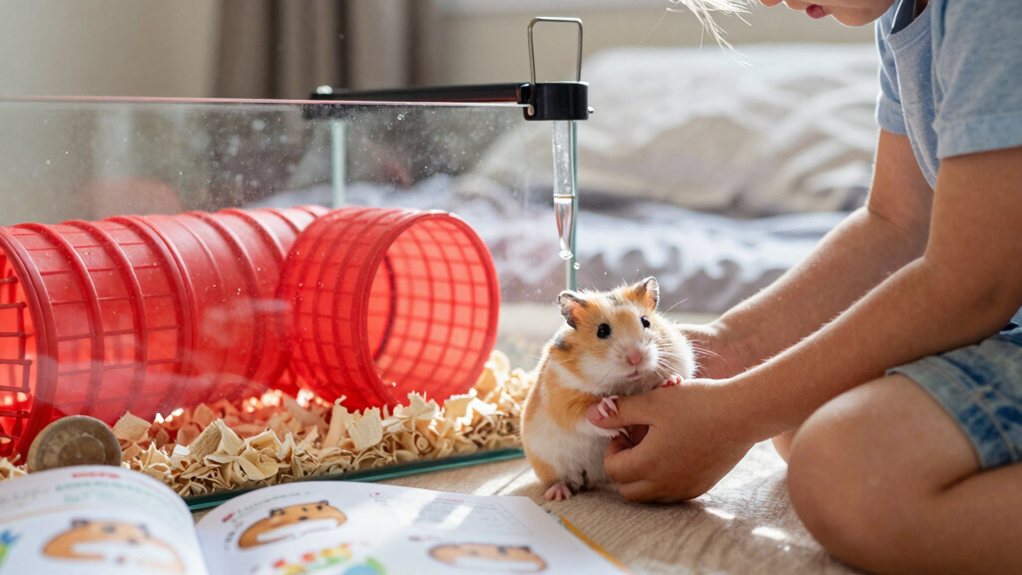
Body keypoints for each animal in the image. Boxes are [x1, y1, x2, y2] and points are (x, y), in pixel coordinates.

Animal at [520, 276, 695, 501]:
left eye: (646, 322)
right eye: (602, 330)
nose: (635, 358)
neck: (625, 383)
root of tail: (592, 478)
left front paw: (671, 381)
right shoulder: (561, 397)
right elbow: (583, 416)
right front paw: (607, 408)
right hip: (549, 462)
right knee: (562, 479)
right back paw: (559, 494)